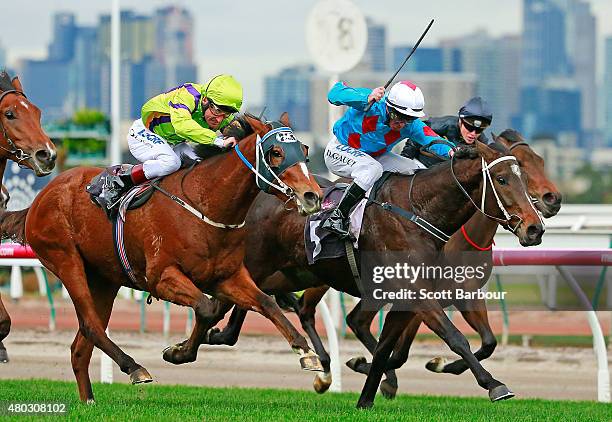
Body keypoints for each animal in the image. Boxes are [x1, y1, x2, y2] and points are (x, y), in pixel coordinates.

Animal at [0, 113, 322, 404]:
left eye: (304, 151)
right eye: (276, 152)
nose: (312, 196)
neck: (205, 203)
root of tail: (41, 197)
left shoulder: (228, 277)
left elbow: (266, 303)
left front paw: (307, 353)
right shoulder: (162, 277)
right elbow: (206, 309)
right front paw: (179, 352)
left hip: (103, 279)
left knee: (81, 345)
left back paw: (88, 400)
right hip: (66, 260)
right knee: (90, 325)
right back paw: (134, 368)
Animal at [164, 140, 544, 408]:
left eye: (525, 177)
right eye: (502, 179)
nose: (535, 228)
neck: (418, 213)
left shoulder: (408, 296)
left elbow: (387, 349)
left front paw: (366, 397)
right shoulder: (417, 293)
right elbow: (455, 337)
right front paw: (494, 384)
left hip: (287, 273)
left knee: (265, 310)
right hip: (252, 267)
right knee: (227, 308)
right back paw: (185, 349)